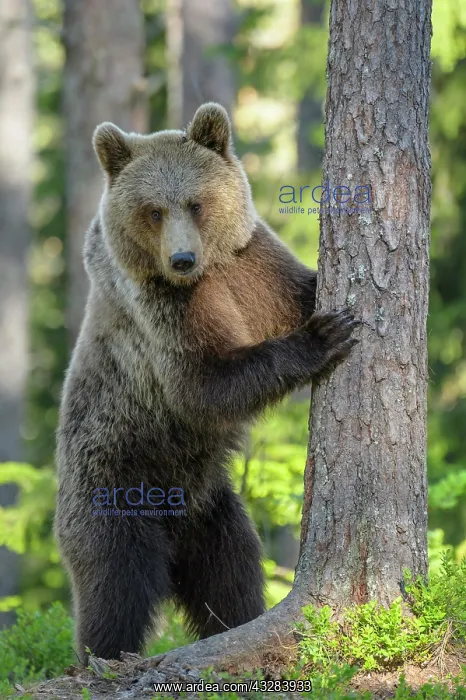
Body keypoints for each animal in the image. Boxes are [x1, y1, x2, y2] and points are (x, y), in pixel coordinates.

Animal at [55, 102, 358, 662]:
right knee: (115, 581)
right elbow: (202, 384)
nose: (182, 259)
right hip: (112, 483)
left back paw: (237, 624)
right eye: (153, 210)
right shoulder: (161, 310)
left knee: (232, 571)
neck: (208, 272)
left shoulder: (253, 267)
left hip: (212, 510)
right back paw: (103, 658)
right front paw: (324, 335)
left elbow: (299, 288)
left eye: (195, 203)